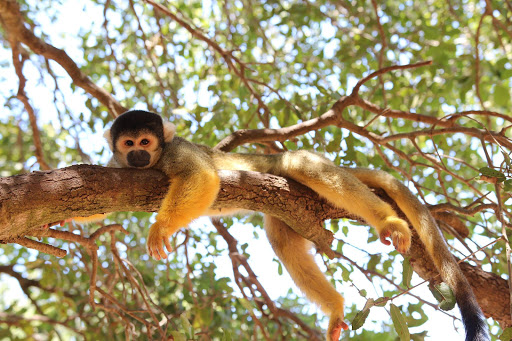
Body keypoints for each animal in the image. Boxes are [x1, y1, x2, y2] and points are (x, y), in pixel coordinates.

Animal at [99, 110, 488, 338]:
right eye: (128, 143)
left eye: (146, 141)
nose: (138, 155)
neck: (156, 159)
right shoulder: (119, 168)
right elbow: (97, 205)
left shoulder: (177, 151)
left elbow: (203, 177)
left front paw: (160, 229)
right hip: (287, 208)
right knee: (282, 238)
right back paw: (335, 306)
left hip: (289, 166)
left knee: (302, 165)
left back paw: (389, 221)